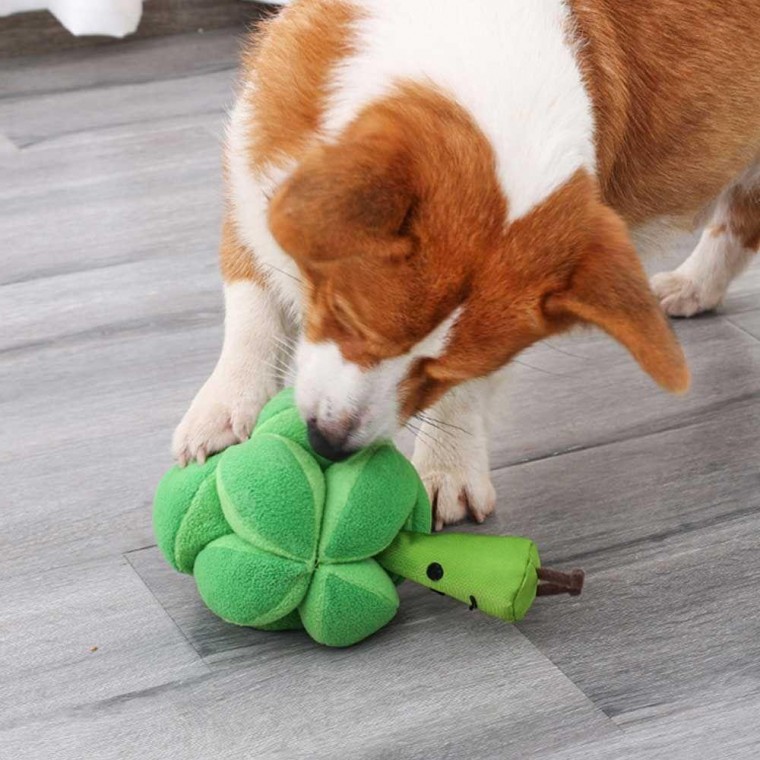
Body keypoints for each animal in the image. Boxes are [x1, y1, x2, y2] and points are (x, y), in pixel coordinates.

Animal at [174, 1, 760, 528]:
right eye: (343, 315)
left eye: (440, 372)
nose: (329, 444)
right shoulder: (251, 188)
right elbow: (253, 315)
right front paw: (221, 412)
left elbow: (462, 399)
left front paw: (445, 473)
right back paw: (692, 286)